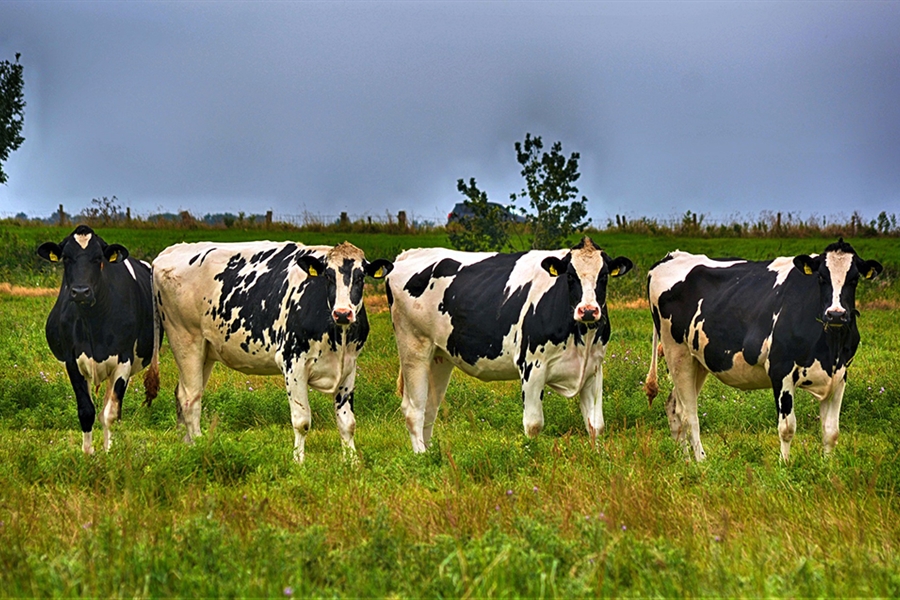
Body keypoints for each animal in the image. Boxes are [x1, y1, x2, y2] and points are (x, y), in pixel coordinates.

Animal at [37, 225, 160, 454]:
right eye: (66, 258)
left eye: (97, 258)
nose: (80, 291)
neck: (93, 321)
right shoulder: (72, 362)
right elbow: (86, 411)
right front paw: (87, 454)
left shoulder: (123, 360)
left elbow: (110, 413)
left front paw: (108, 452)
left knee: (111, 408)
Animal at [152, 240, 394, 464]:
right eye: (328, 276)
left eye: (361, 277)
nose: (343, 313)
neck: (338, 336)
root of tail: (170, 250)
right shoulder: (293, 363)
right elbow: (302, 421)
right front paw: (299, 463)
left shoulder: (349, 366)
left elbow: (347, 423)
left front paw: (352, 463)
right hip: (186, 339)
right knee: (190, 399)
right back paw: (199, 448)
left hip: (205, 350)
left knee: (182, 394)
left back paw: (185, 447)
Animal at [386, 237, 632, 452]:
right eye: (570, 276)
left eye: (604, 276)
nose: (588, 310)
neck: (582, 337)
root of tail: (409, 254)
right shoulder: (532, 366)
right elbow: (533, 424)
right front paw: (533, 457)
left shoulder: (594, 368)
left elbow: (596, 425)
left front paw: (597, 457)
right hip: (413, 347)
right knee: (414, 409)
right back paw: (421, 457)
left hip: (439, 356)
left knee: (430, 408)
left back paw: (431, 454)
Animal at [644, 239, 884, 460]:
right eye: (821, 277)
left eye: (854, 279)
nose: (836, 314)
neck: (830, 347)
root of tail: (672, 256)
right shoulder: (781, 370)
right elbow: (787, 428)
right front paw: (784, 466)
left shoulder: (840, 374)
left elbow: (831, 431)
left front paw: (827, 467)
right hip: (677, 351)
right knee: (689, 414)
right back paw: (701, 462)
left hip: (698, 360)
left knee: (674, 407)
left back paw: (685, 461)